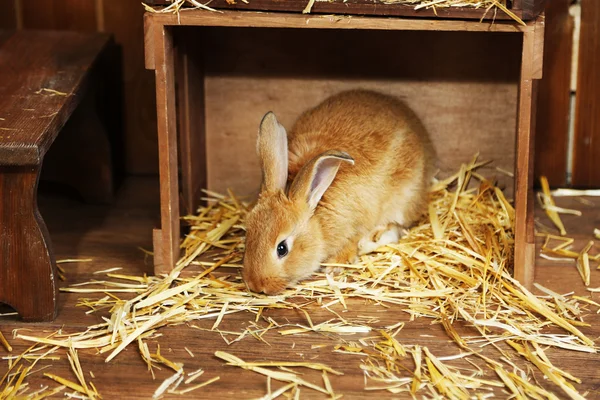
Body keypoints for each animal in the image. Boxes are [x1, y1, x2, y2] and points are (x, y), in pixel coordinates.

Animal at [240, 90, 436, 294]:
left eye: (282, 248)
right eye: (247, 235)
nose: (256, 285)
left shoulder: (358, 222)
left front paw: (335, 265)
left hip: (403, 200)